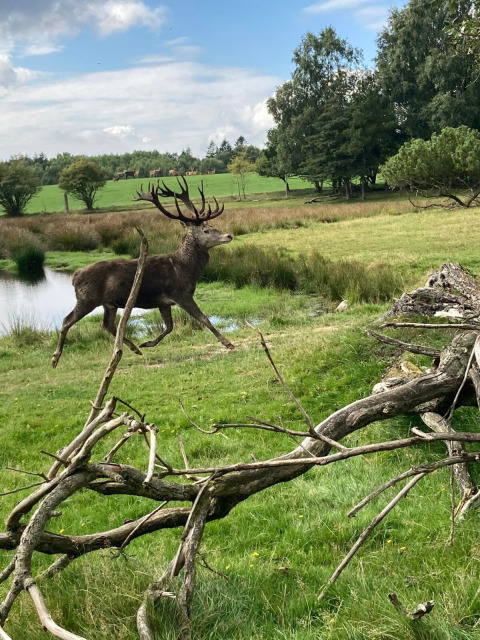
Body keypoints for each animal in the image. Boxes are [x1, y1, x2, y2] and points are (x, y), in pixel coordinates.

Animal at [51, 178, 234, 368]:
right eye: (206, 230)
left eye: (212, 225)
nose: (229, 235)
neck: (186, 269)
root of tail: (75, 275)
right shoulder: (180, 293)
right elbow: (203, 318)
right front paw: (227, 343)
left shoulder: (164, 302)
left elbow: (169, 326)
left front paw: (147, 343)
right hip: (87, 298)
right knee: (67, 321)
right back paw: (55, 357)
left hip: (109, 303)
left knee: (107, 324)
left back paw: (134, 348)